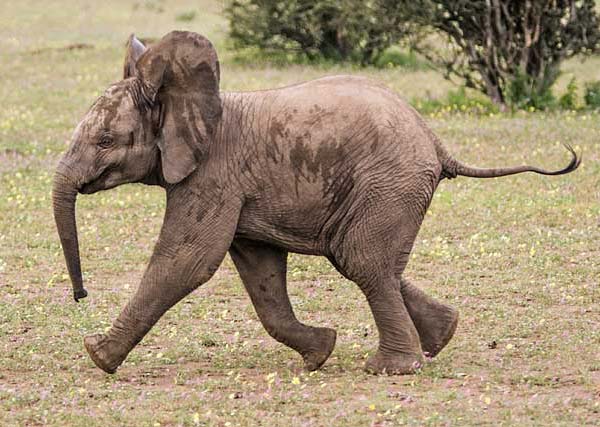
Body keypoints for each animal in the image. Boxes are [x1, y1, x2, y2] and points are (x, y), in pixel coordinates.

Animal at [54, 31, 580, 376]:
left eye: (105, 140)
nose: (81, 296)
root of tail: (434, 139)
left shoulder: (212, 176)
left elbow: (187, 261)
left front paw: (97, 355)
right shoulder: (235, 188)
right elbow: (261, 274)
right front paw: (319, 353)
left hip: (389, 183)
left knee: (362, 260)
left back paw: (393, 368)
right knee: (366, 261)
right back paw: (440, 338)